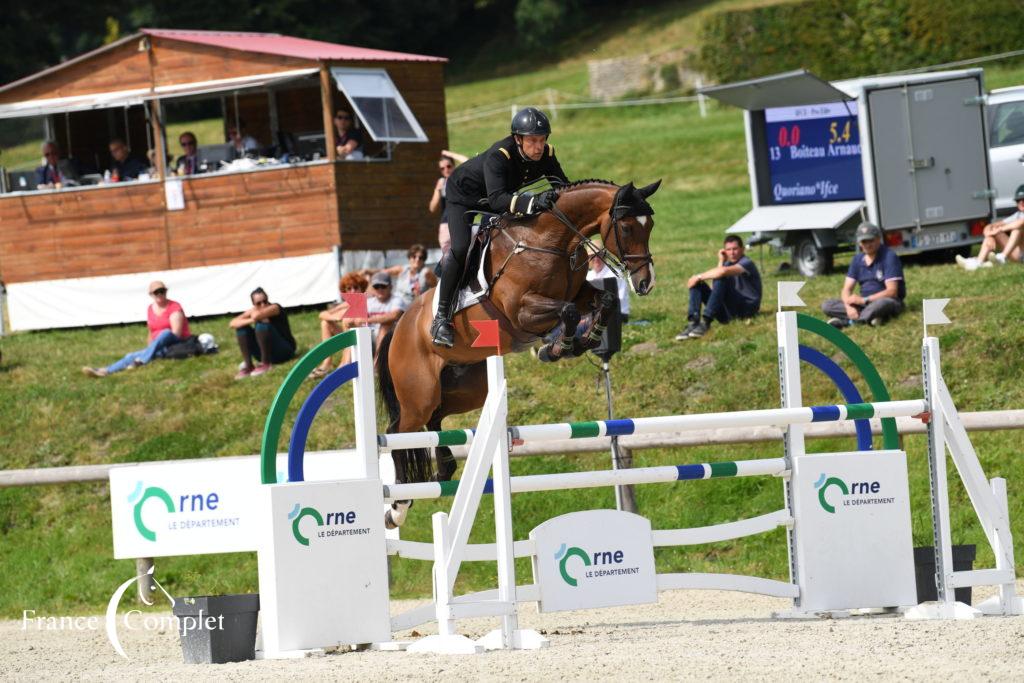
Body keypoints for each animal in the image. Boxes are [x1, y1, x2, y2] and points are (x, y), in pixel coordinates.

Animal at [380, 179, 659, 528]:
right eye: (625, 226)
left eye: (650, 225)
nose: (645, 283)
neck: (550, 240)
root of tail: (398, 325)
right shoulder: (522, 311)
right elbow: (566, 311)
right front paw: (557, 348)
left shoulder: (579, 293)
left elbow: (605, 300)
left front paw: (582, 341)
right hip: (418, 395)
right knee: (397, 433)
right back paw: (397, 507)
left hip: (466, 388)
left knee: (434, 422)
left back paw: (441, 471)